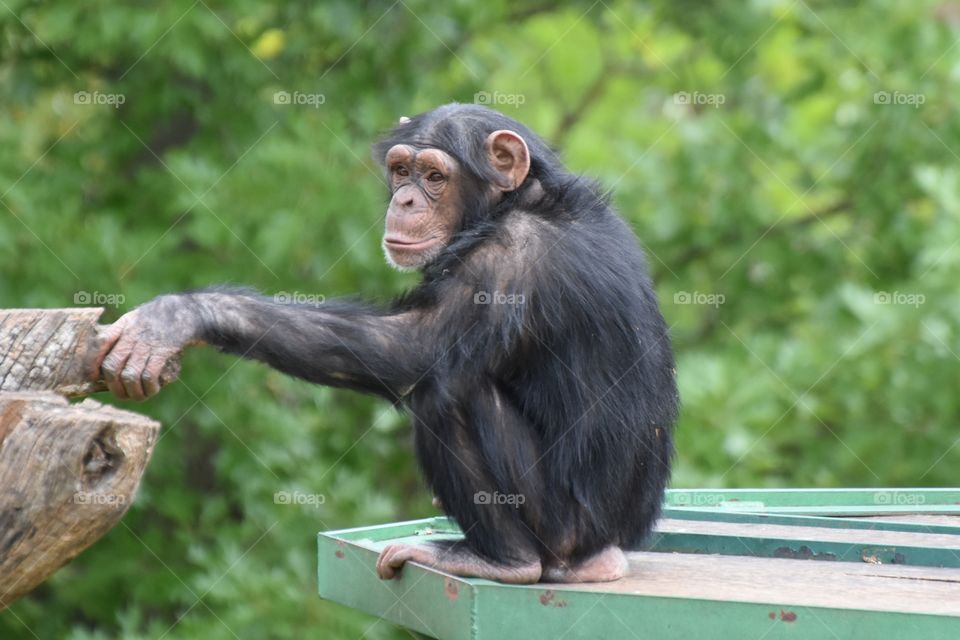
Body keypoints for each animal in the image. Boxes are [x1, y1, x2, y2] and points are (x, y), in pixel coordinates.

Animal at [94, 102, 680, 584]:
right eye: (401, 170)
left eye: (435, 176)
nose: (405, 198)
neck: (514, 204)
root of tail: (614, 547)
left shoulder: (506, 262)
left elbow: (411, 349)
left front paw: (180, 316)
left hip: (563, 530)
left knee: (448, 392)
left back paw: (504, 561)